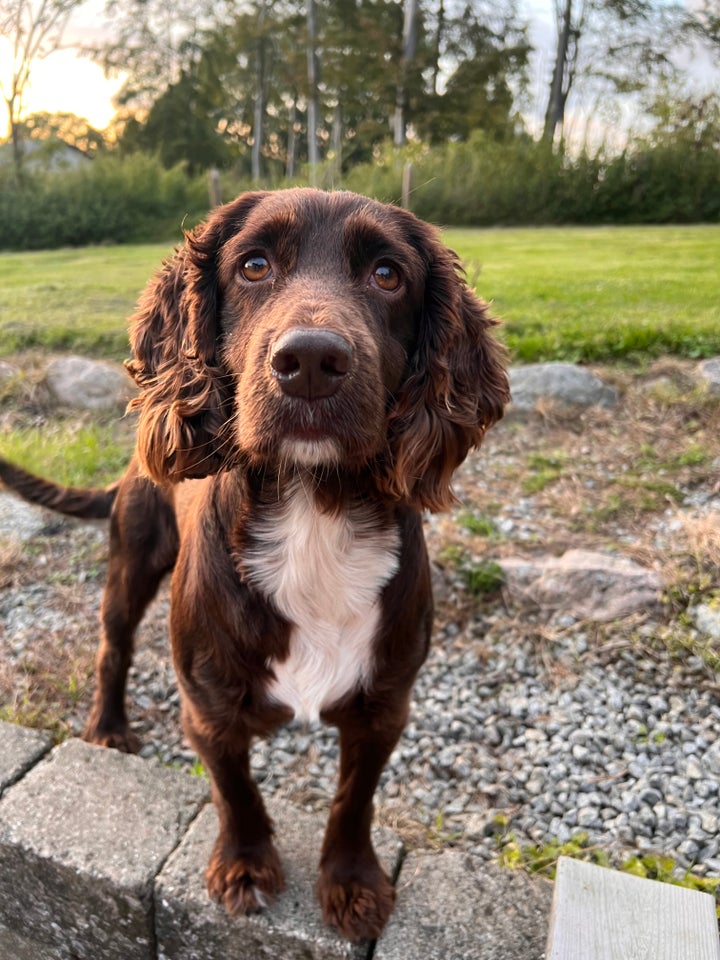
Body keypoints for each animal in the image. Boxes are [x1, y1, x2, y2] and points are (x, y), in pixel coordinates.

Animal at [0, 189, 510, 944]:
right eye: (254, 265)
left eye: (388, 275)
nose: (310, 359)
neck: (313, 510)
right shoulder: (208, 704)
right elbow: (234, 788)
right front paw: (244, 866)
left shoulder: (385, 704)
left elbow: (354, 798)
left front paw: (353, 884)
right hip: (133, 559)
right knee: (112, 646)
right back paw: (108, 727)